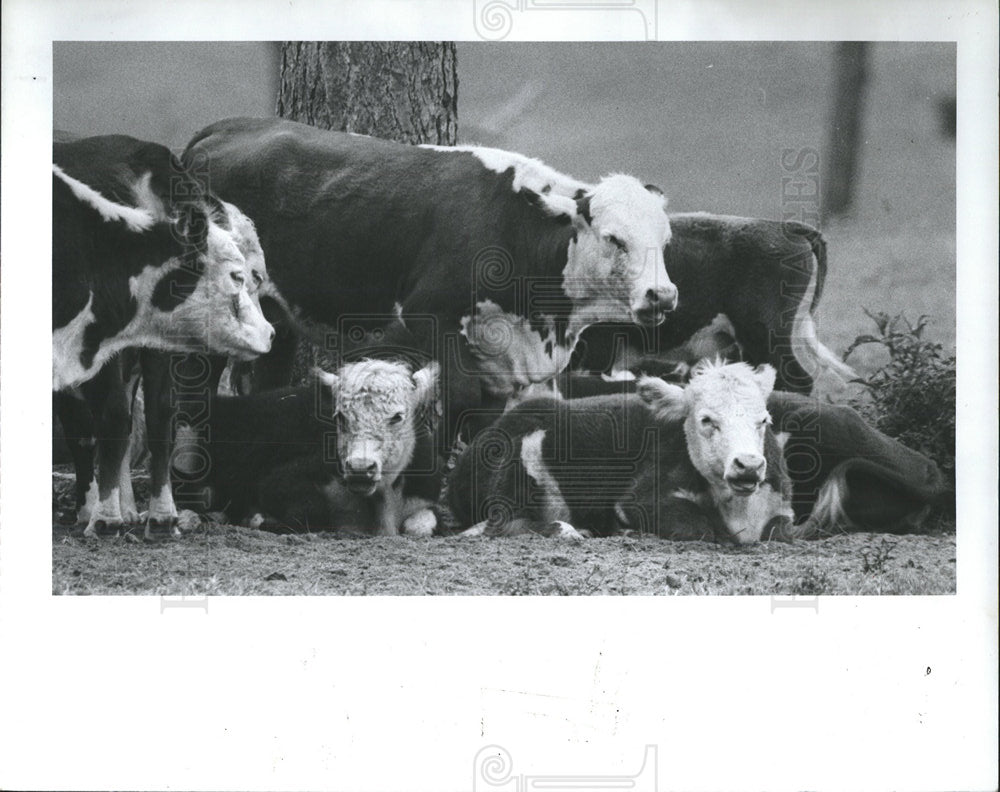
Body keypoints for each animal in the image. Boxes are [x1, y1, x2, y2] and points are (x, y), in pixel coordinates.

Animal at [172, 360, 442, 536]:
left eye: (397, 417)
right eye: (340, 417)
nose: (359, 468)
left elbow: (419, 527)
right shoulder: (278, 481)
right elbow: (312, 510)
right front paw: (258, 519)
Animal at [184, 116, 676, 440]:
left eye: (665, 238)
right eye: (614, 238)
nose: (663, 296)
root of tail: (225, 127)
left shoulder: (505, 359)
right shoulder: (432, 318)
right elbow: (459, 403)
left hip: (277, 318)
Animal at [450, 360, 792, 540]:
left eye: (764, 420)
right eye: (706, 420)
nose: (748, 465)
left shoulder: (782, 510)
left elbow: (781, 531)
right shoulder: (639, 499)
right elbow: (700, 528)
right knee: (503, 523)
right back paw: (573, 531)